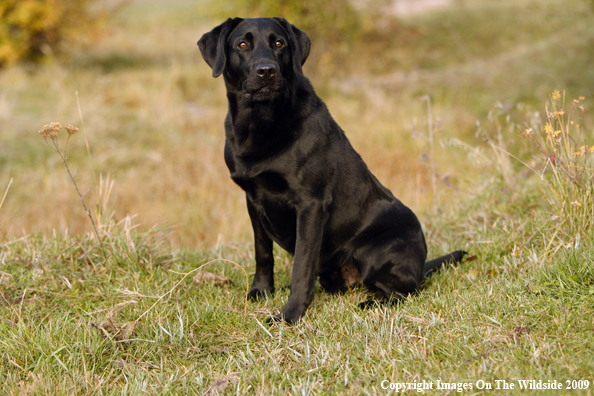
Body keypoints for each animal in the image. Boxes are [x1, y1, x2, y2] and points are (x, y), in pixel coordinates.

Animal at [197, 17, 464, 324]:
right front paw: (261, 292)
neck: (260, 123)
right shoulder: (253, 199)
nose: (266, 71)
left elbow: (302, 266)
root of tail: (421, 264)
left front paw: (290, 315)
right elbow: (262, 253)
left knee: (407, 290)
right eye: (242, 44)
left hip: (374, 249)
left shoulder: (311, 204)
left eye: (279, 43)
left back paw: (371, 304)